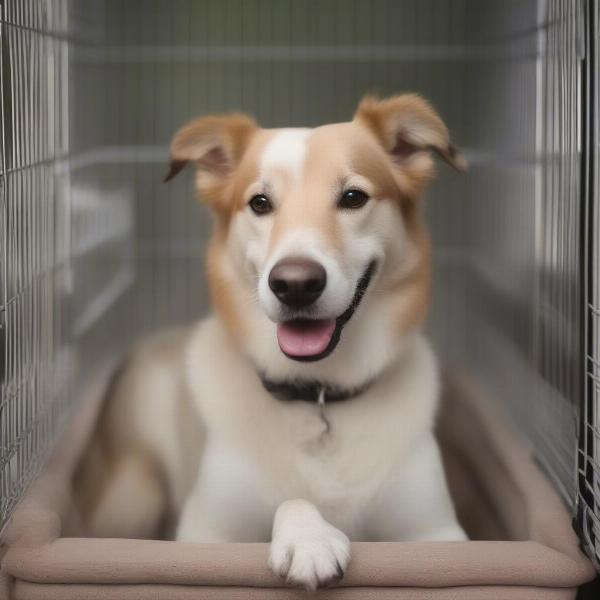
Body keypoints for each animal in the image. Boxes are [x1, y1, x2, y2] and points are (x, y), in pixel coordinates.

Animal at [75, 94, 468, 592]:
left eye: (353, 197)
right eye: (260, 203)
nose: (295, 284)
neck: (318, 396)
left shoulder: (439, 534)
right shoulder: (204, 535)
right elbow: (292, 501)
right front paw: (309, 540)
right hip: (134, 495)